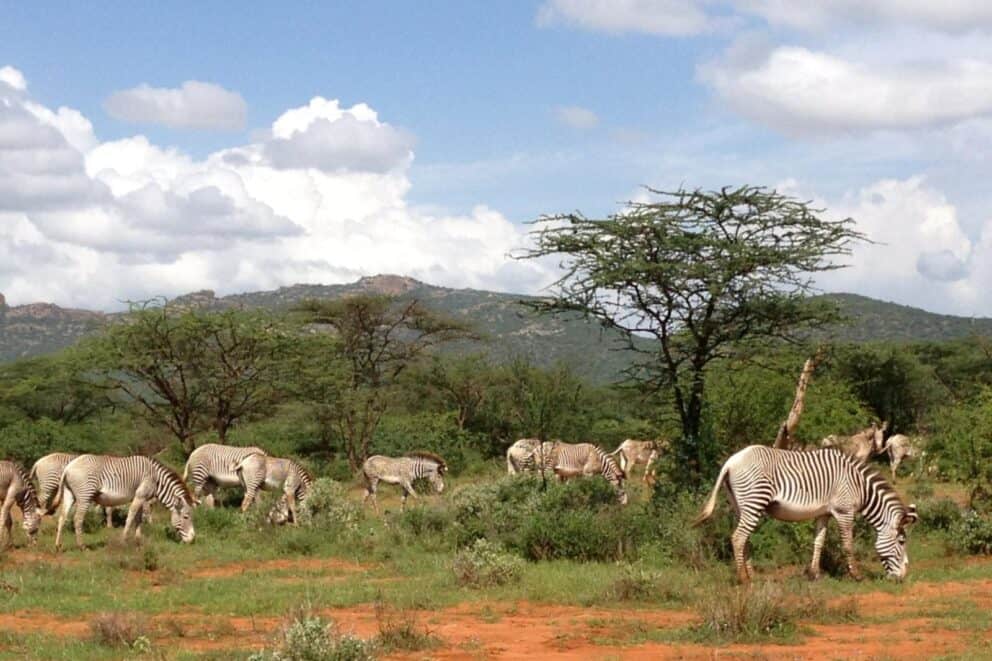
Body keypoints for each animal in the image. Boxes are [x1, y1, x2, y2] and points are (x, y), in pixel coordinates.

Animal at [55, 455, 196, 550]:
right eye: (186, 517)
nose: (192, 539)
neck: (156, 479)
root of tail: (68, 467)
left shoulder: (140, 498)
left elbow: (138, 519)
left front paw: (138, 542)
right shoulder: (140, 496)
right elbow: (131, 517)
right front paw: (123, 541)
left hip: (69, 494)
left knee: (62, 517)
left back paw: (58, 545)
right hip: (85, 496)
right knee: (77, 519)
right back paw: (82, 546)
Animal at [694, 445, 918, 582]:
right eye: (901, 542)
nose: (903, 576)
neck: (860, 487)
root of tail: (731, 461)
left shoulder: (824, 513)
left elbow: (819, 542)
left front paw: (814, 574)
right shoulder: (844, 511)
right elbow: (847, 544)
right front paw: (856, 575)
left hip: (741, 505)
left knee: (744, 538)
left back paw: (752, 576)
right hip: (754, 502)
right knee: (738, 537)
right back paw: (743, 578)